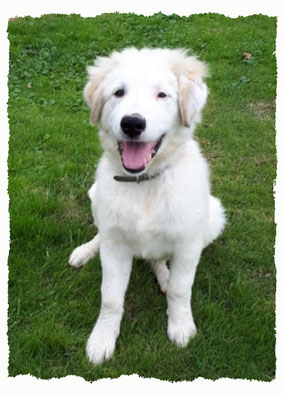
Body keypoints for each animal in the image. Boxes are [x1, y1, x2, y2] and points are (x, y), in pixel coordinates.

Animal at [69, 47, 226, 364]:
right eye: (119, 92)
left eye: (162, 95)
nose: (132, 123)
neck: (143, 182)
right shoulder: (115, 246)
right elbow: (111, 298)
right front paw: (101, 340)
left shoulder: (188, 242)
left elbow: (180, 288)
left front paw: (181, 326)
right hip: (96, 197)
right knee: (102, 235)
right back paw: (85, 251)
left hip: (214, 216)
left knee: (159, 260)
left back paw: (164, 275)